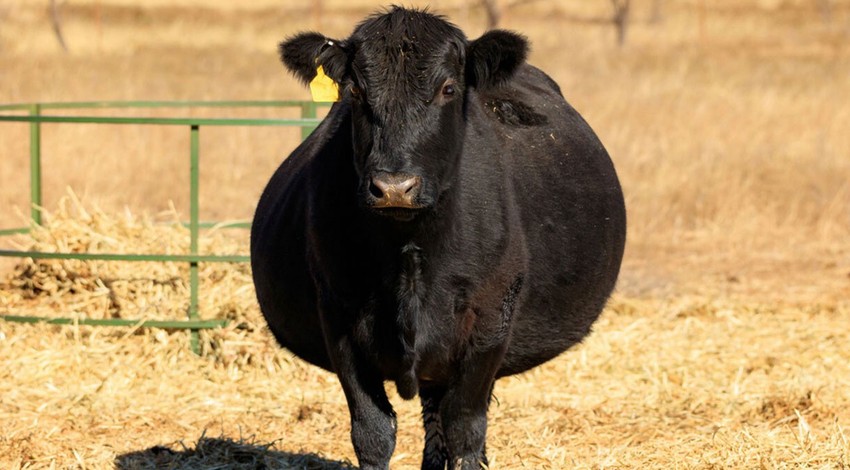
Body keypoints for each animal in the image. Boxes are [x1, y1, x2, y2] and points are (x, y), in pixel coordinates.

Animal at [250, 5, 624, 468]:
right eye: (354, 91)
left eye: (448, 88)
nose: (394, 186)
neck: (409, 252)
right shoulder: (338, 319)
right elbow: (373, 432)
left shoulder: (489, 323)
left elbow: (465, 429)